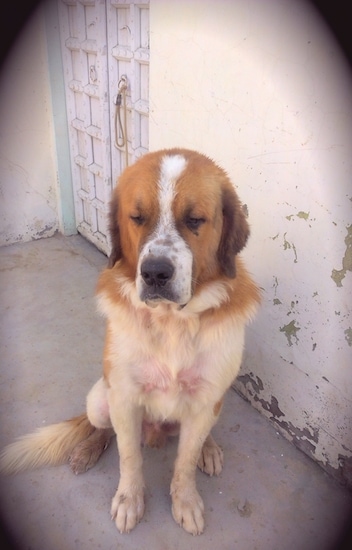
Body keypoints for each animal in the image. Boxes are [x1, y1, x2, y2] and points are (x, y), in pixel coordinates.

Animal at [0, 149, 262, 536]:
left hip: (216, 401)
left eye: (195, 220)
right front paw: (129, 500)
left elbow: (184, 462)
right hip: (99, 398)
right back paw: (87, 450)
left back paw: (209, 449)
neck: (171, 322)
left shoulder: (205, 400)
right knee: (103, 430)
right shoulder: (122, 397)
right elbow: (129, 457)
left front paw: (185, 499)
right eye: (137, 218)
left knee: (200, 435)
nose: (154, 273)